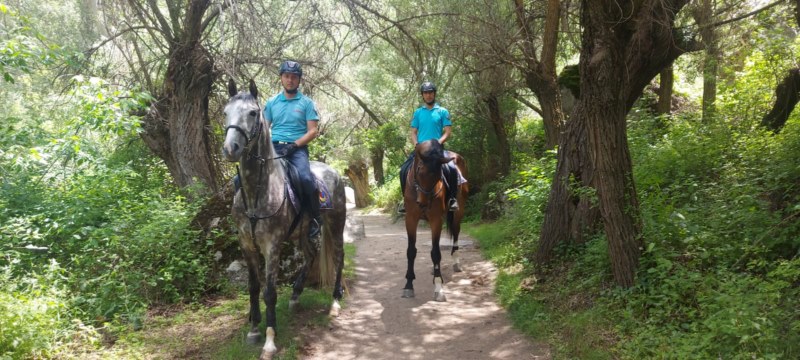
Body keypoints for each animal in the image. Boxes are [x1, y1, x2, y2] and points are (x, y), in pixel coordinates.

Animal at [220, 80, 346, 358]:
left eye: (253, 113)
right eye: (225, 112)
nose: (231, 149)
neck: (258, 191)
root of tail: (333, 171)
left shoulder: (272, 246)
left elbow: (269, 292)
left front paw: (269, 340)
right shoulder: (247, 244)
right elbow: (254, 287)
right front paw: (254, 329)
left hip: (335, 225)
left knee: (338, 258)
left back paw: (335, 302)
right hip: (302, 232)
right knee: (310, 255)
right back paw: (296, 295)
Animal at [400, 139, 468, 302]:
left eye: (439, 175)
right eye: (419, 170)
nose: (423, 203)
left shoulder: (436, 220)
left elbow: (436, 253)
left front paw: (438, 287)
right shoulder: (410, 219)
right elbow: (411, 251)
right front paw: (408, 285)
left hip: (459, 211)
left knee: (456, 232)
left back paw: (456, 262)